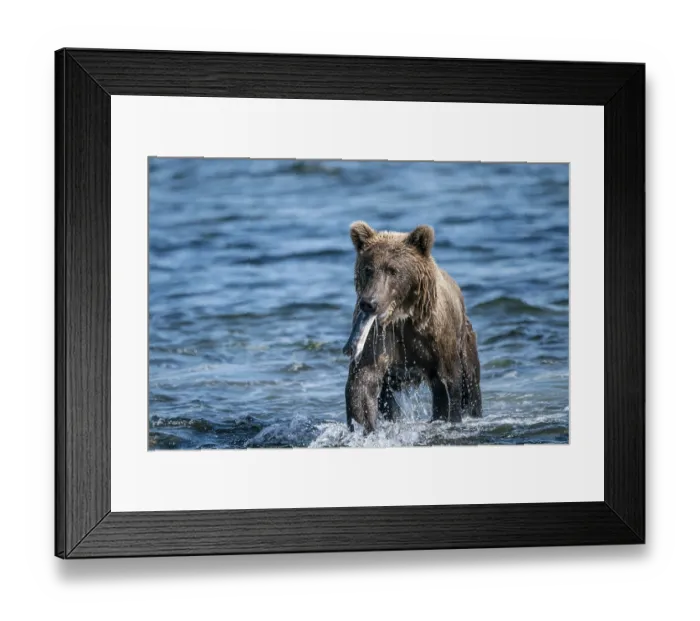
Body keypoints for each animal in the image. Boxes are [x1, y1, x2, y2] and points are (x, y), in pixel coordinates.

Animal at [343, 221, 482, 434]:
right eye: (368, 269)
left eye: (393, 270)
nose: (369, 303)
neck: (403, 317)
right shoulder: (380, 337)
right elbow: (363, 383)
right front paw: (365, 429)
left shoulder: (436, 338)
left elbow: (447, 385)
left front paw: (445, 419)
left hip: (465, 339)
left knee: (472, 384)